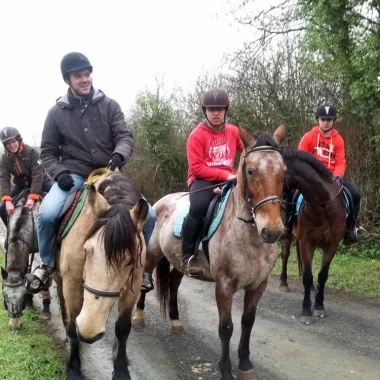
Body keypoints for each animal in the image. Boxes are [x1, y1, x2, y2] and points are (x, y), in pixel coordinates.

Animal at [0, 190, 51, 330]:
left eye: (22, 296)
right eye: (4, 295)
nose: (15, 326)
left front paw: (44, 308)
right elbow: (27, 269)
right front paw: (30, 302)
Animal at [133, 127, 284, 380]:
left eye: (284, 171)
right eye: (251, 171)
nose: (272, 231)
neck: (249, 237)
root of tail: (160, 202)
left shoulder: (258, 285)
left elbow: (248, 322)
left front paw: (245, 365)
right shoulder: (224, 285)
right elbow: (226, 328)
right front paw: (225, 369)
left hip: (180, 263)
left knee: (173, 283)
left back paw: (176, 322)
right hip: (152, 255)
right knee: (144, 280)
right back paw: (138, 318)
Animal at [278, 148, 346, 324]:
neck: (322, 205)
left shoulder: (332, 244)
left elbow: (322, 275)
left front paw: (319, 305)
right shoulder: (305, 242)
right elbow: (307, 276)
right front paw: (306, 310)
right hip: (288, 237)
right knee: (285, 256)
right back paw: (283, 283)